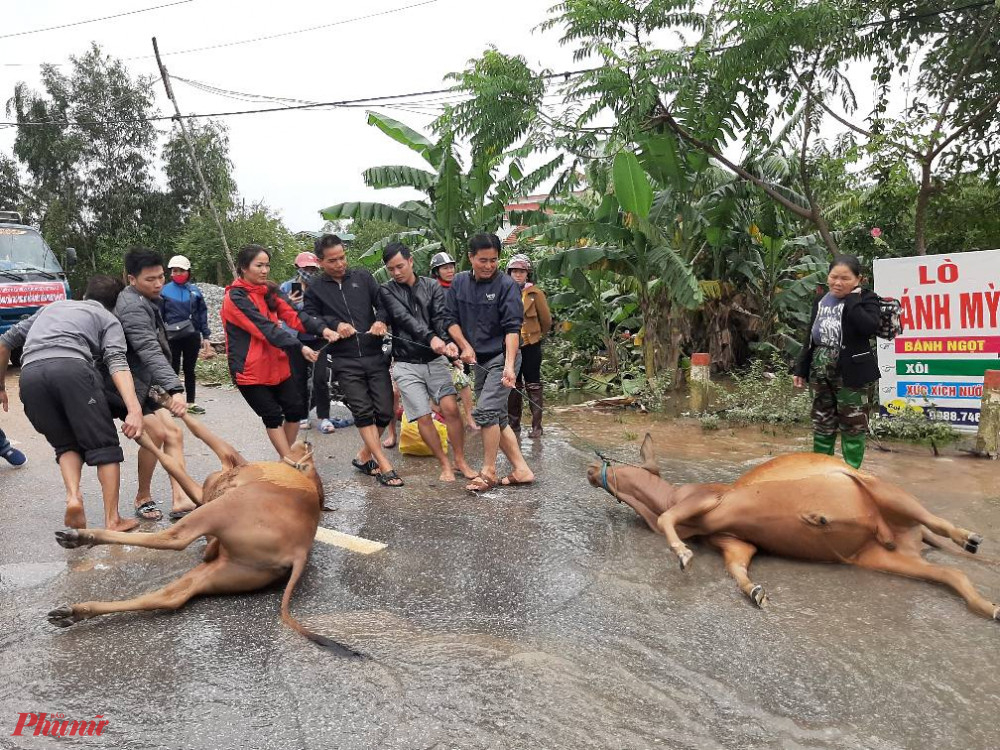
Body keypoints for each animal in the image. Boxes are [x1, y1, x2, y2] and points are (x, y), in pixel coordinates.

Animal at [47, 400, 362, 656]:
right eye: (310, 464)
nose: (308, 445)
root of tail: (299, 552)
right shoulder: (205, 489)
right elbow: (184, 451)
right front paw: (164, 398)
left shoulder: (226, 460)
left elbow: (187, 444)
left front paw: (143, 431)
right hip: (223, 569)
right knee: (170, 597)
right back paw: (75, 612)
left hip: (221, 510)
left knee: (174, 538)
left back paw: (80, 537)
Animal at [588, 434, 996, 624]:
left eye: (618, 461)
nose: (591, 469)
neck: (666, 495)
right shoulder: (734, 540)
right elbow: (737, 568)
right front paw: (755, 591)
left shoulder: (706, 500)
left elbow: (668, 522)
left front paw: (683, 554)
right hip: (882, 557)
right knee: (952, 573)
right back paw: (988, 606)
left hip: (887, 492)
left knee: (934, 519)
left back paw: (969, 538)